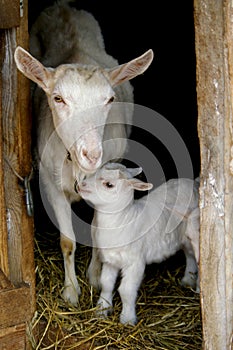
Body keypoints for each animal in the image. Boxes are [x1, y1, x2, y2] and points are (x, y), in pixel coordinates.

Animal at [13, 1, 154, 304]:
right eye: (58, 98)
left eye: (109, 99)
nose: (91, 154)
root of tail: (64, 5)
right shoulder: (50, 183)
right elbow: (67, 241)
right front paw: (70, 291)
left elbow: (100, 232)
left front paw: (94, 277)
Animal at [78, 163, 198, 324]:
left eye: (109, 184)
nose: (80, 185)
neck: (124, 218)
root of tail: (194, 183)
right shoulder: (111, 261)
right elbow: (106, 284)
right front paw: (102, 309)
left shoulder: (135, 262)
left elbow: (126, 290)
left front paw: (127, 319)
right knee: (189, 255)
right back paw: (188, 281)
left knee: (192, 255)